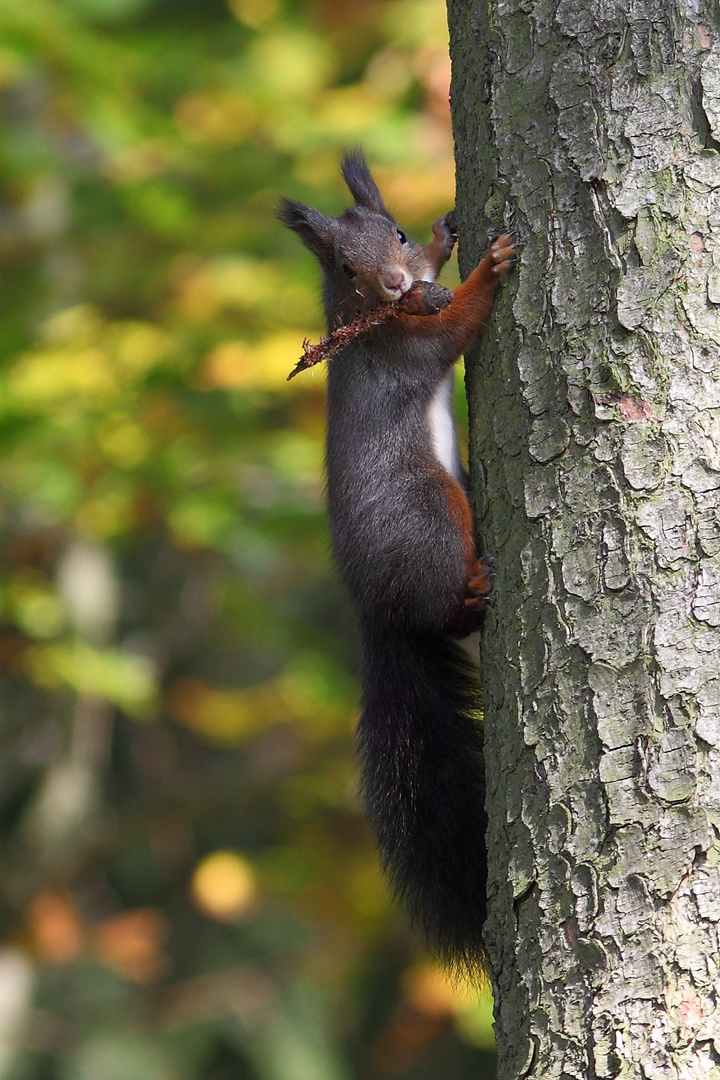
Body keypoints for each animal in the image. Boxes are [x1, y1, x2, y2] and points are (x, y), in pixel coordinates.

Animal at [278, 152, 515, 972]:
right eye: (346, 268)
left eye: (400, 235)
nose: (391, 284)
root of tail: (372, 606)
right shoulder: (405, 346)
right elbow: (454, 328)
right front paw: (489, 269)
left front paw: (450, 236)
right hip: (433, 516)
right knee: (446, 608)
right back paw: (473, 591)